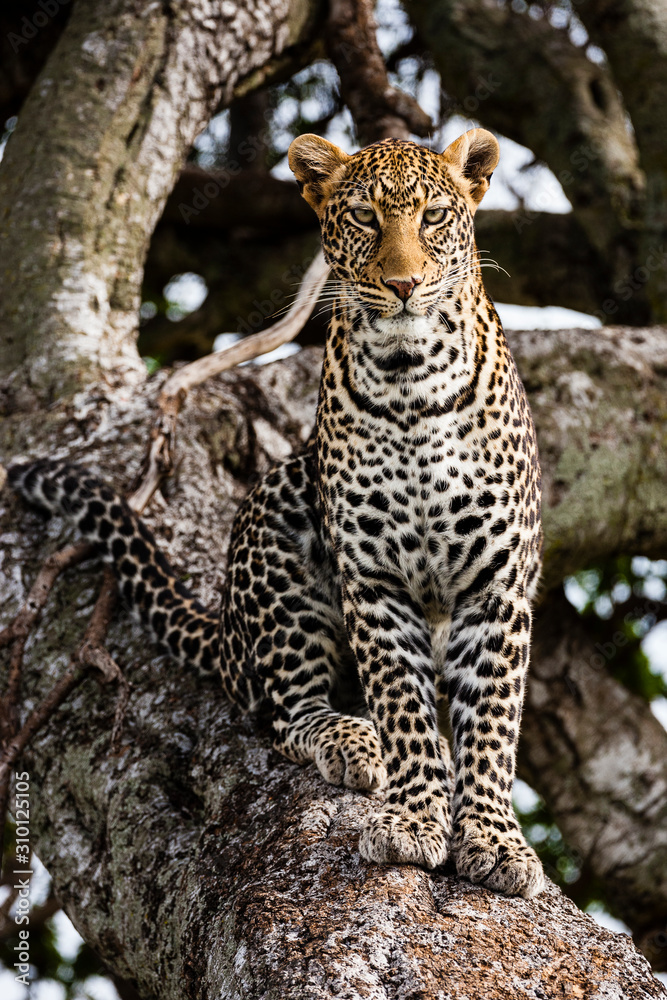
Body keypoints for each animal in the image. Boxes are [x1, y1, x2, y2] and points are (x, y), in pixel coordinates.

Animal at [8, 127, 545, 898]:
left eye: (434, 217)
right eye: (364, 218)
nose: (404, 285)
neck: (411, 378)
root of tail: (227, 631)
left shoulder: (495, 584)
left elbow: (493, 725)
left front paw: (495, 838)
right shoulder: (372, 581)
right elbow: (404, 706)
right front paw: (414, 818)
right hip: (280, 504)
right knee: (289, 714)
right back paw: (353, 740)